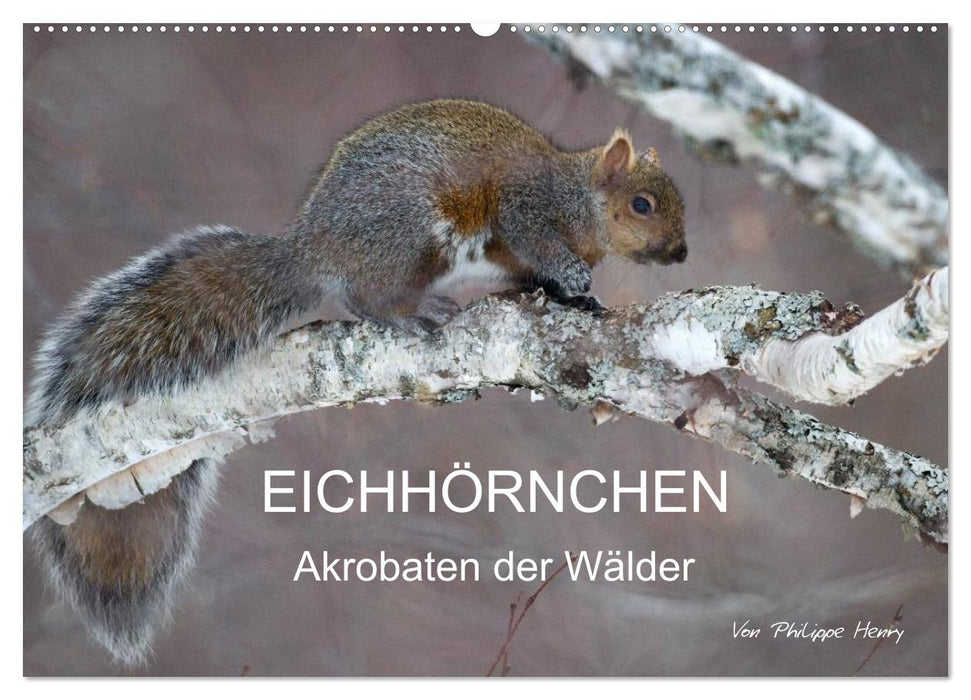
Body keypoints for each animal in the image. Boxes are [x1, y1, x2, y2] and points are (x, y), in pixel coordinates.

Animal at [26, 99, 686, 665]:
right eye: (642, 204)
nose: (681, 254)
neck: (581, 201)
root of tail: (313, 248)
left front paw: (580, 297)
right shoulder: (529, 208)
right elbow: (534, 241)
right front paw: (573, 277)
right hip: (406, 234)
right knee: (363, 298)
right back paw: (413, 313)